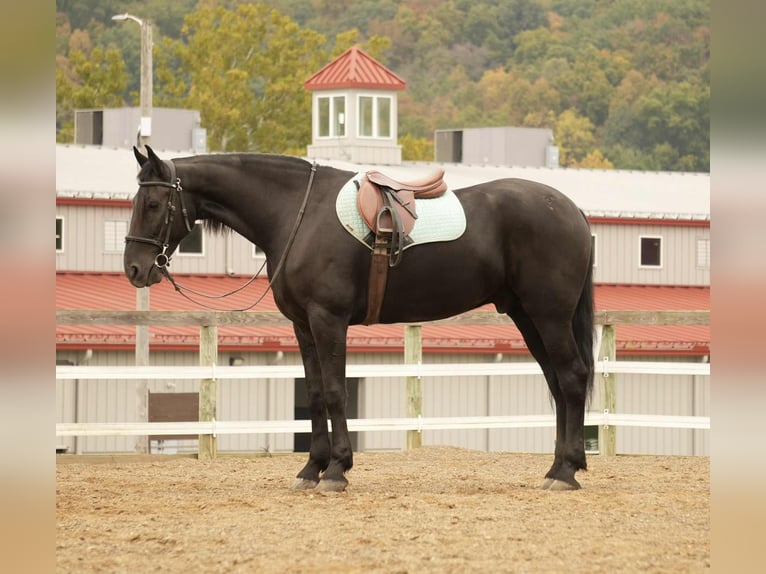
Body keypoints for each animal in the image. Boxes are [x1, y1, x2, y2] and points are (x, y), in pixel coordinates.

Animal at [124, 145, 595, 492]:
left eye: (153, 202)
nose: (134, 268)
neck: (298, 212)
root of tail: (571, 210)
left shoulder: (328, 319)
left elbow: (335, 392)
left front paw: (336, 470)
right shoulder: (302, 325)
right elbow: (315, 394)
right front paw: (311, 469)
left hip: (549, 316)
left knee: (571, 377)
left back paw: (567, 472)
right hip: (527, 317)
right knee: (557, 383)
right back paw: (555, 469)